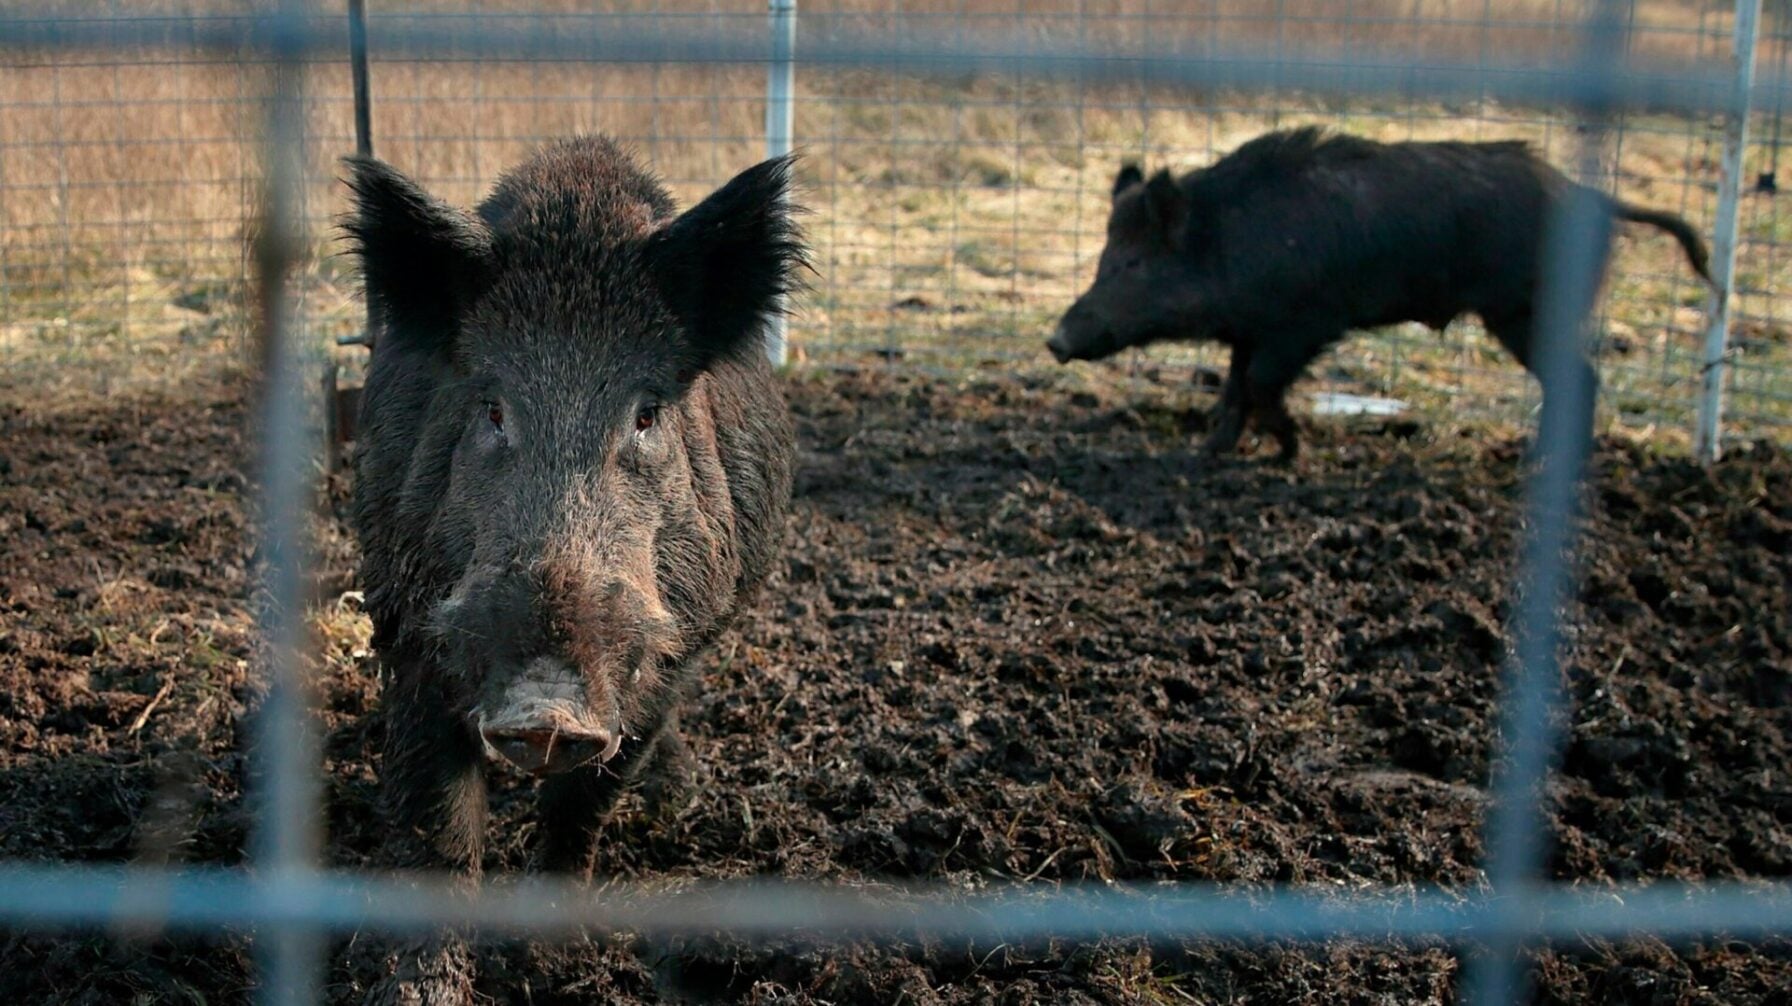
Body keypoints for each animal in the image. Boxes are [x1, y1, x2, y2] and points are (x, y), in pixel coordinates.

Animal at [343, 136, 800, 1000]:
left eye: (646, 414)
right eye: (492, 409)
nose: (546, 709)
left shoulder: (674, 648)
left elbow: (583, 803)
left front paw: (549, 963)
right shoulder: (410, 621)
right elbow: (435, 823)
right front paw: (423, 990)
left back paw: (678, 792)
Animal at [1047, 127, 1715, 460]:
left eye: (1133, 264)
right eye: (1102, 258)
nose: (1055, 339)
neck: (1230, 240)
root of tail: (1595, 198)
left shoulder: (1305, 323)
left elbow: (1258, 385)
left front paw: (1288, 451)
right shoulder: (1252, 328)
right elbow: (1235, 390)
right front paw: (1206, 453)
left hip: (1526, 310)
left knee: (1581, 377)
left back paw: (1542, 462)